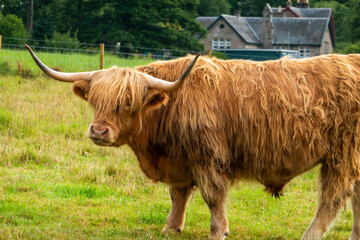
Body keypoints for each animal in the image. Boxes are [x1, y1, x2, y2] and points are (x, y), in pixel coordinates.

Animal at [26, 44, 360, 239]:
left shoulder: (208, 158)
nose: (98, 131)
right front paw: (171, 226)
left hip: (343, 153)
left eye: (127, 102)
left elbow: (213, 198)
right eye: (96, 100)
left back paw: (310, 235)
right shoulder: (179, 159)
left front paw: (218, 232)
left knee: (333, 199)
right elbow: (178, 195)